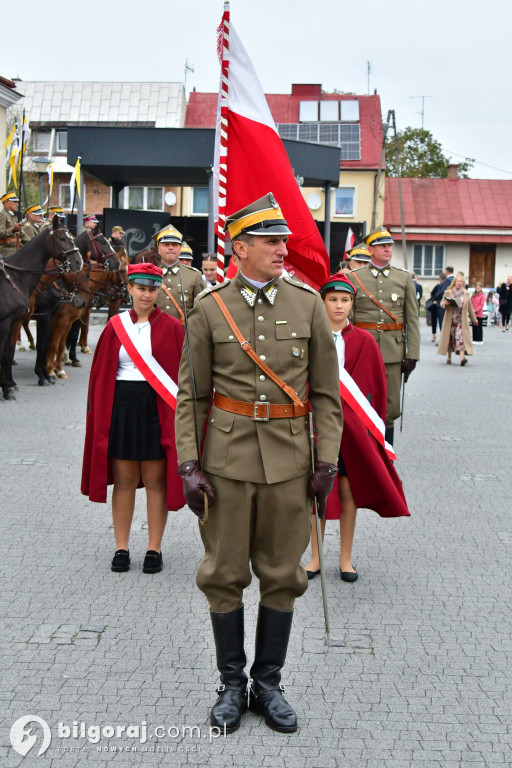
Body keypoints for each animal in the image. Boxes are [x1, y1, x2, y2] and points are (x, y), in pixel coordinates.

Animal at [0, 214, 81, 396]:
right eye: (62, 238)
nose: (78, 262)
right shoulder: (8, 322)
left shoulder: (17, 322)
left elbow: (10, 353)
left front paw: (9, 385)